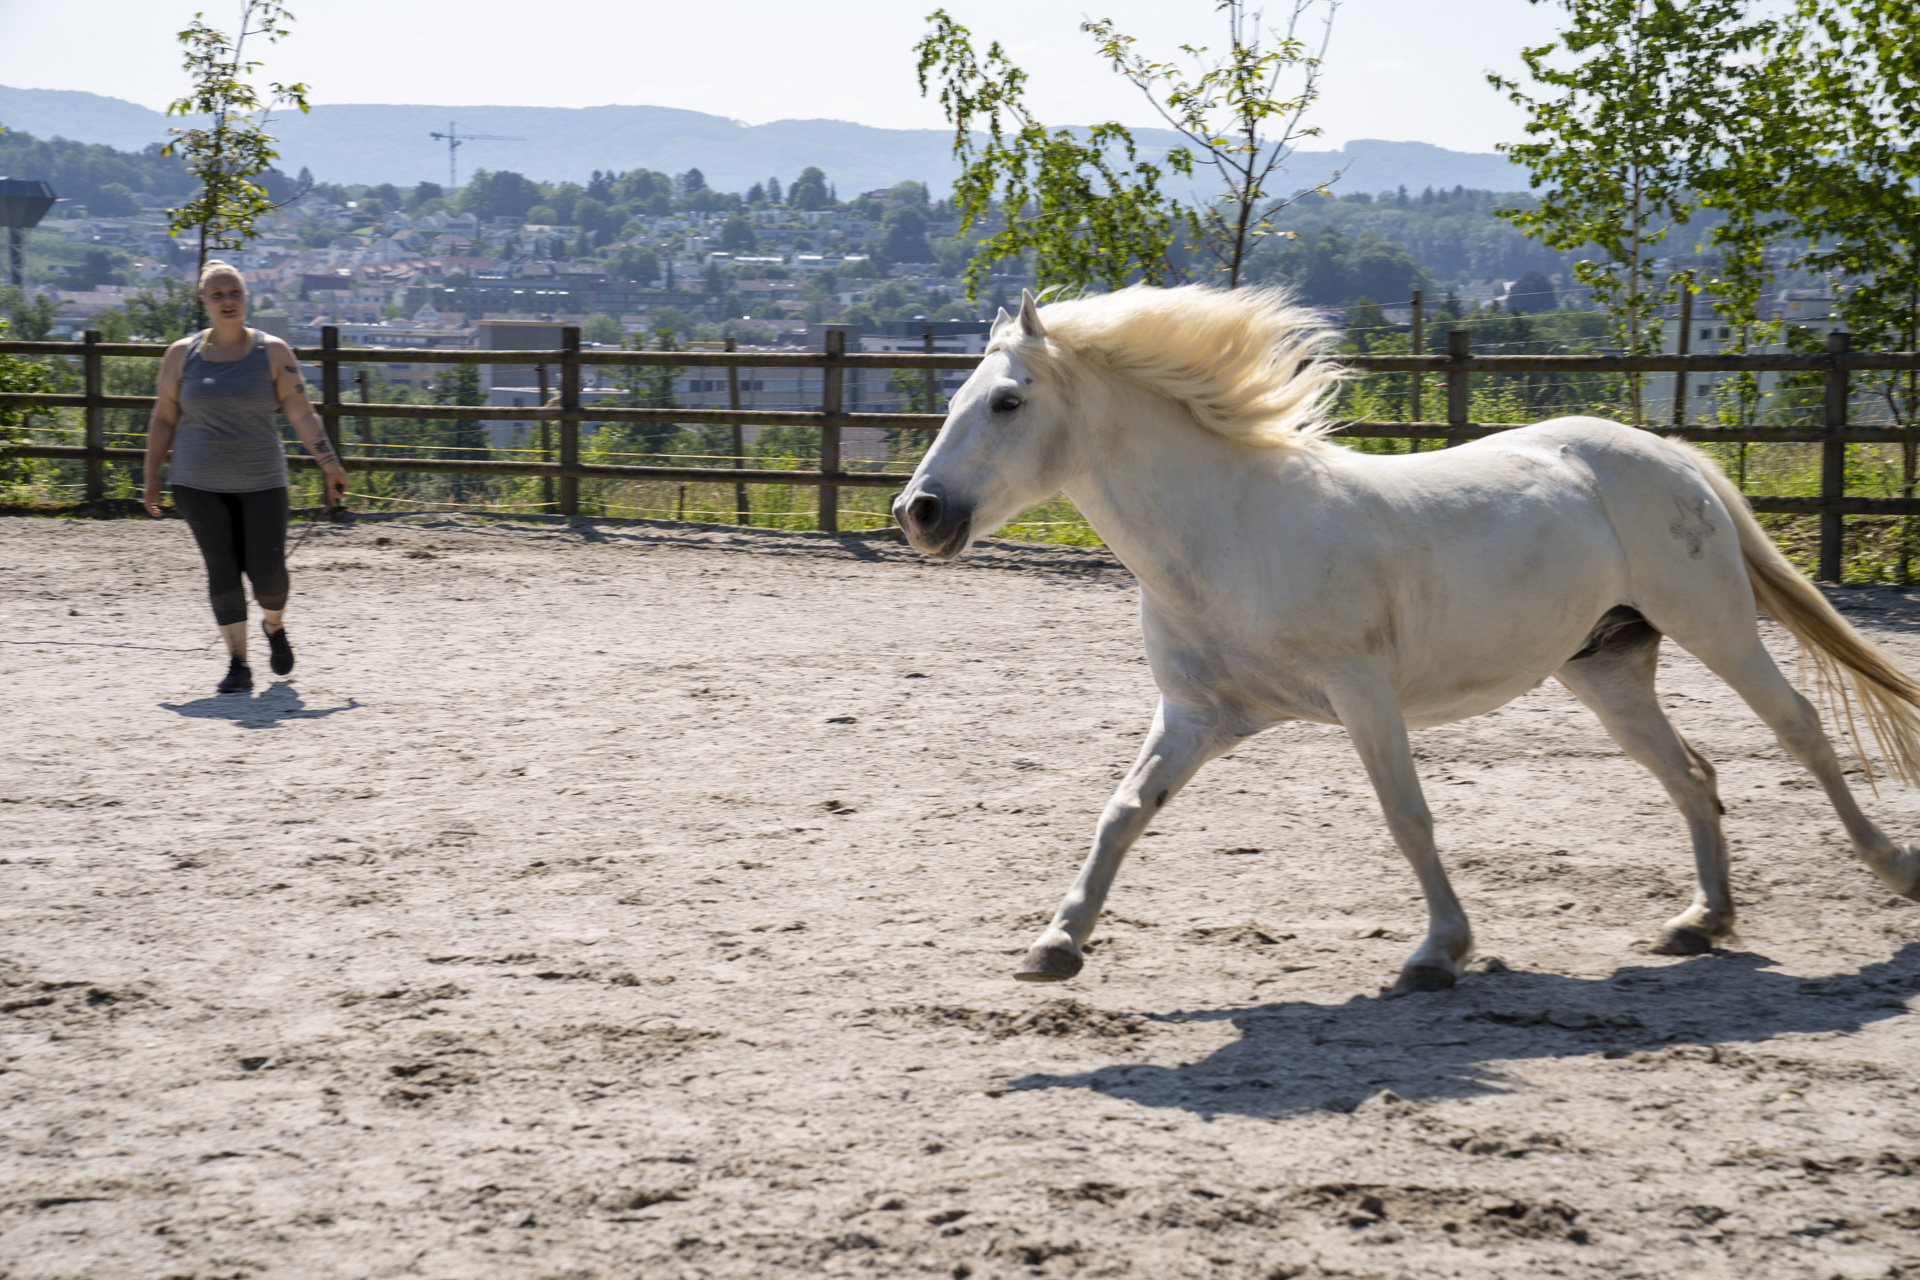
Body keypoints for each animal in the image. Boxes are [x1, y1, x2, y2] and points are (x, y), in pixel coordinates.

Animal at [890, 285, 1920, 997]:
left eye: (1008, 402)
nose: (919, 513)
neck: (1228, 535)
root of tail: (1666, 451)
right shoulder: (1199, 715)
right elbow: (1123, 811)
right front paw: (1055, 944)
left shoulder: (1361, 695)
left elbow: (1406, 816)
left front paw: (1438, 954)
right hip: (1607, 669)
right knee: (1692, 773)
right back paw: (1700, 922)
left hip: (1714, 622)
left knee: (1798, 727)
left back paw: (1893, 870)